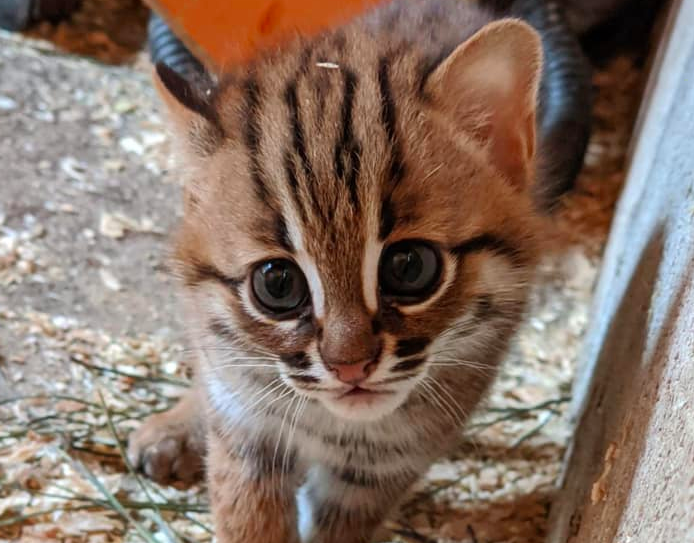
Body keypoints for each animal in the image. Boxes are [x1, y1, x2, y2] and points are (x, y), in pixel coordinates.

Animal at [126, 1, 588, 543]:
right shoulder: (248, 429)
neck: (332, 423)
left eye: (410, 267)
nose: (349, 368)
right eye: (276, 283)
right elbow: (247, 514)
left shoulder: (380, 469)